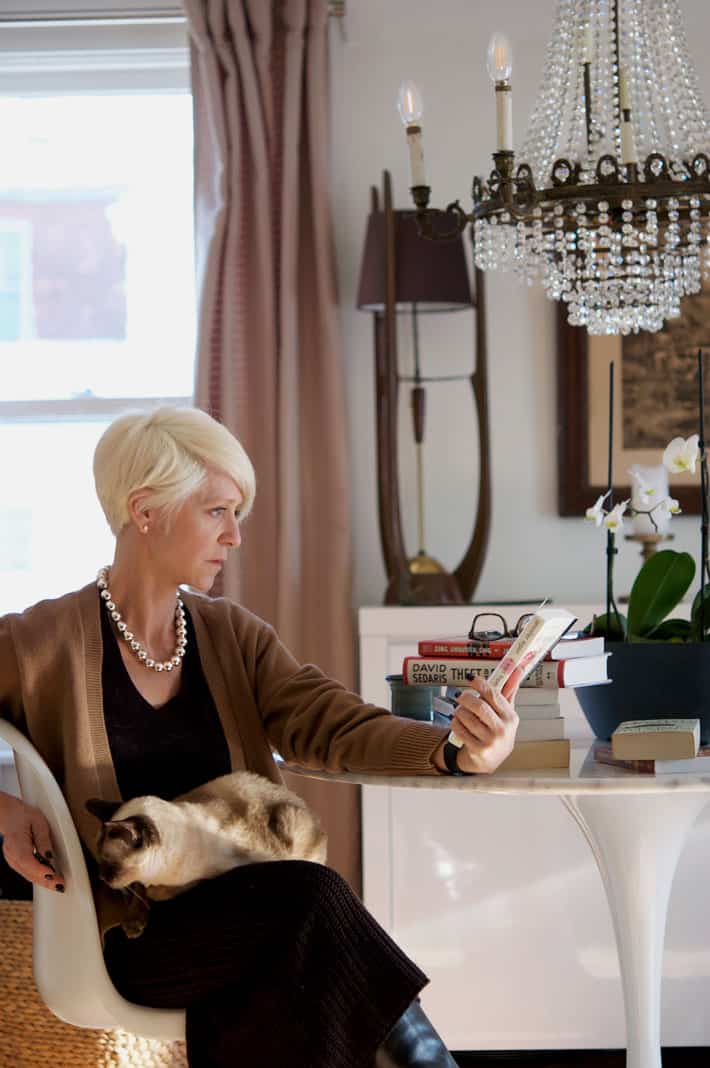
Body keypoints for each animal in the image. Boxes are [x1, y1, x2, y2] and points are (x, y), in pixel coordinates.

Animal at [86, 768, 326, 935]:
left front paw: (152, 896)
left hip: (290, 825)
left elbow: (158, 893)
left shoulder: (217, 871)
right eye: (99, 861)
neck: (159, 873)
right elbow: (139, 890)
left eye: (109, 865)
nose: (100, 876)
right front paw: (134, 924)